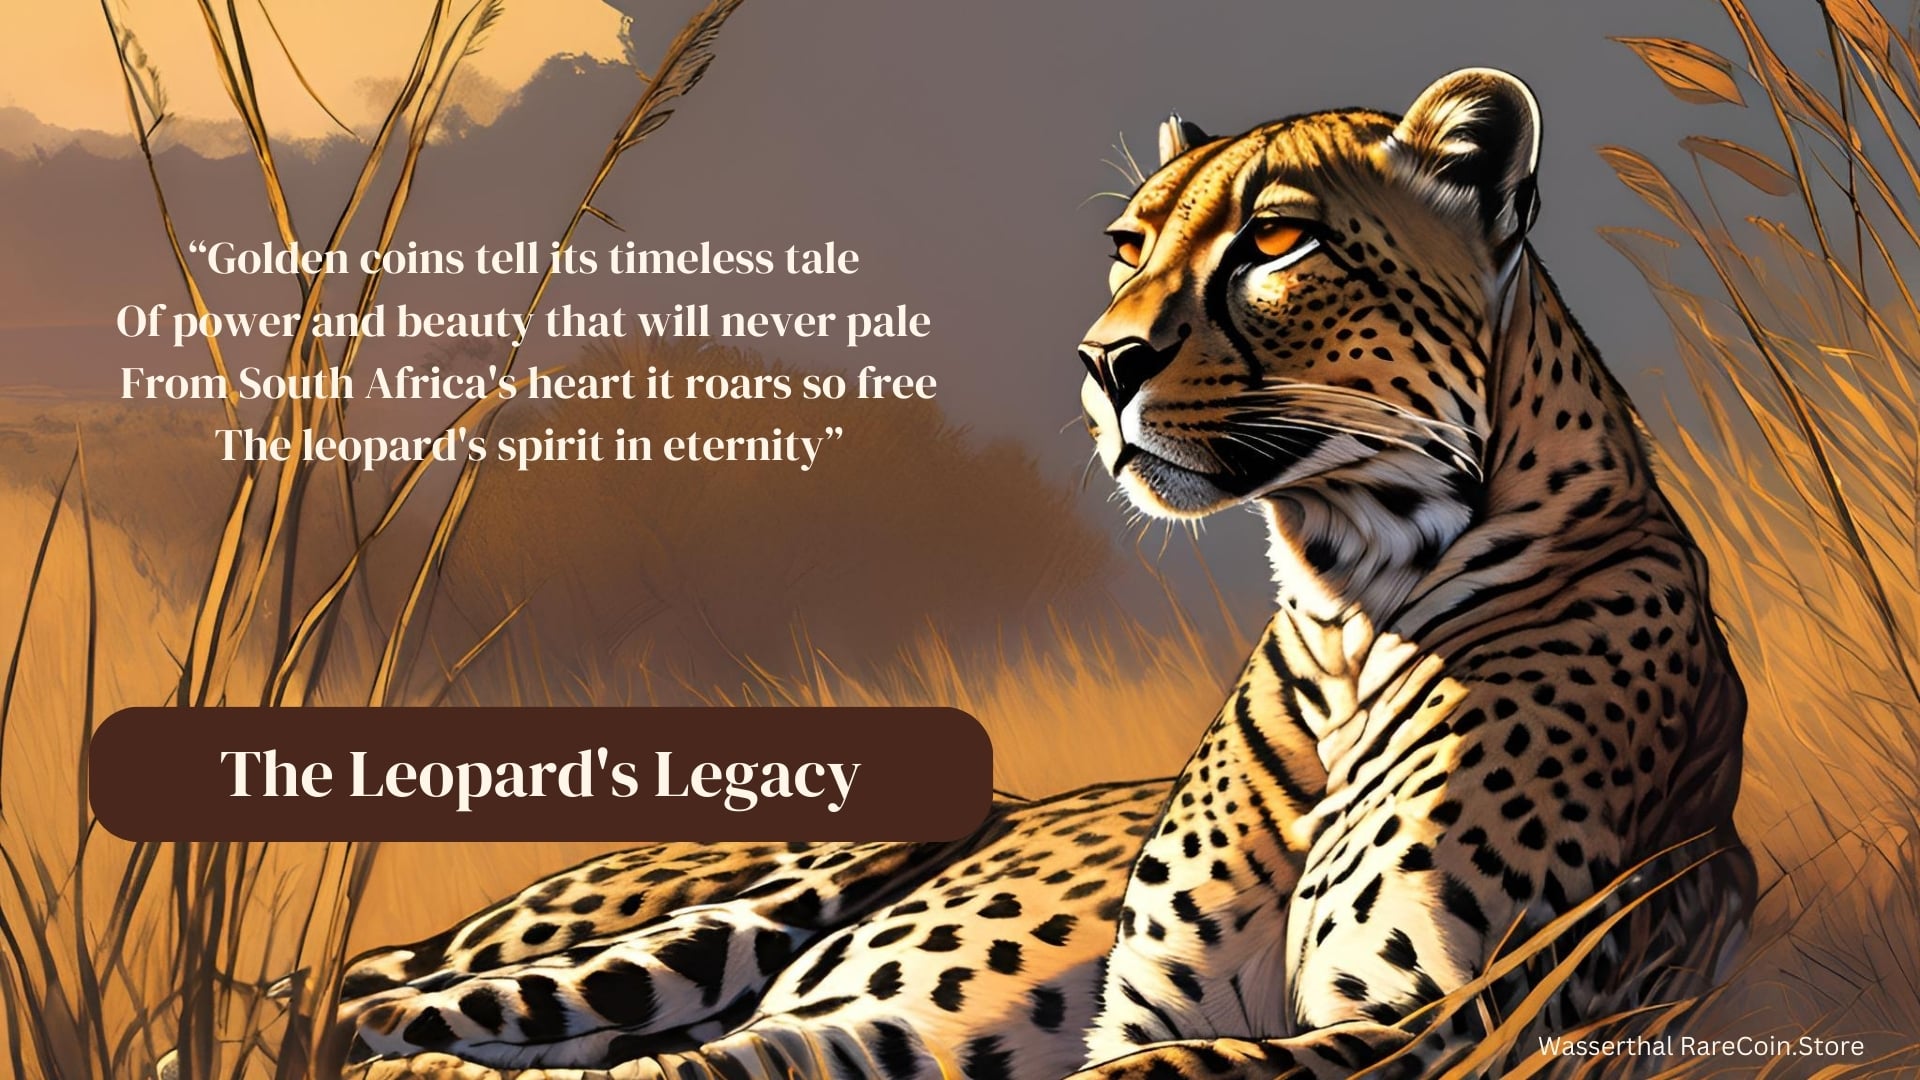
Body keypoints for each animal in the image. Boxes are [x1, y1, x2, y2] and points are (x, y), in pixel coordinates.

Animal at [295, 68, 1754, 1080]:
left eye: (1278, 242)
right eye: (1129, 245)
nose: (1103, 360)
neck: (1347, 598)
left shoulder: (1451, 1018)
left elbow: (1191, 1068)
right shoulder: (1091, 1012)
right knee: (393, 998)